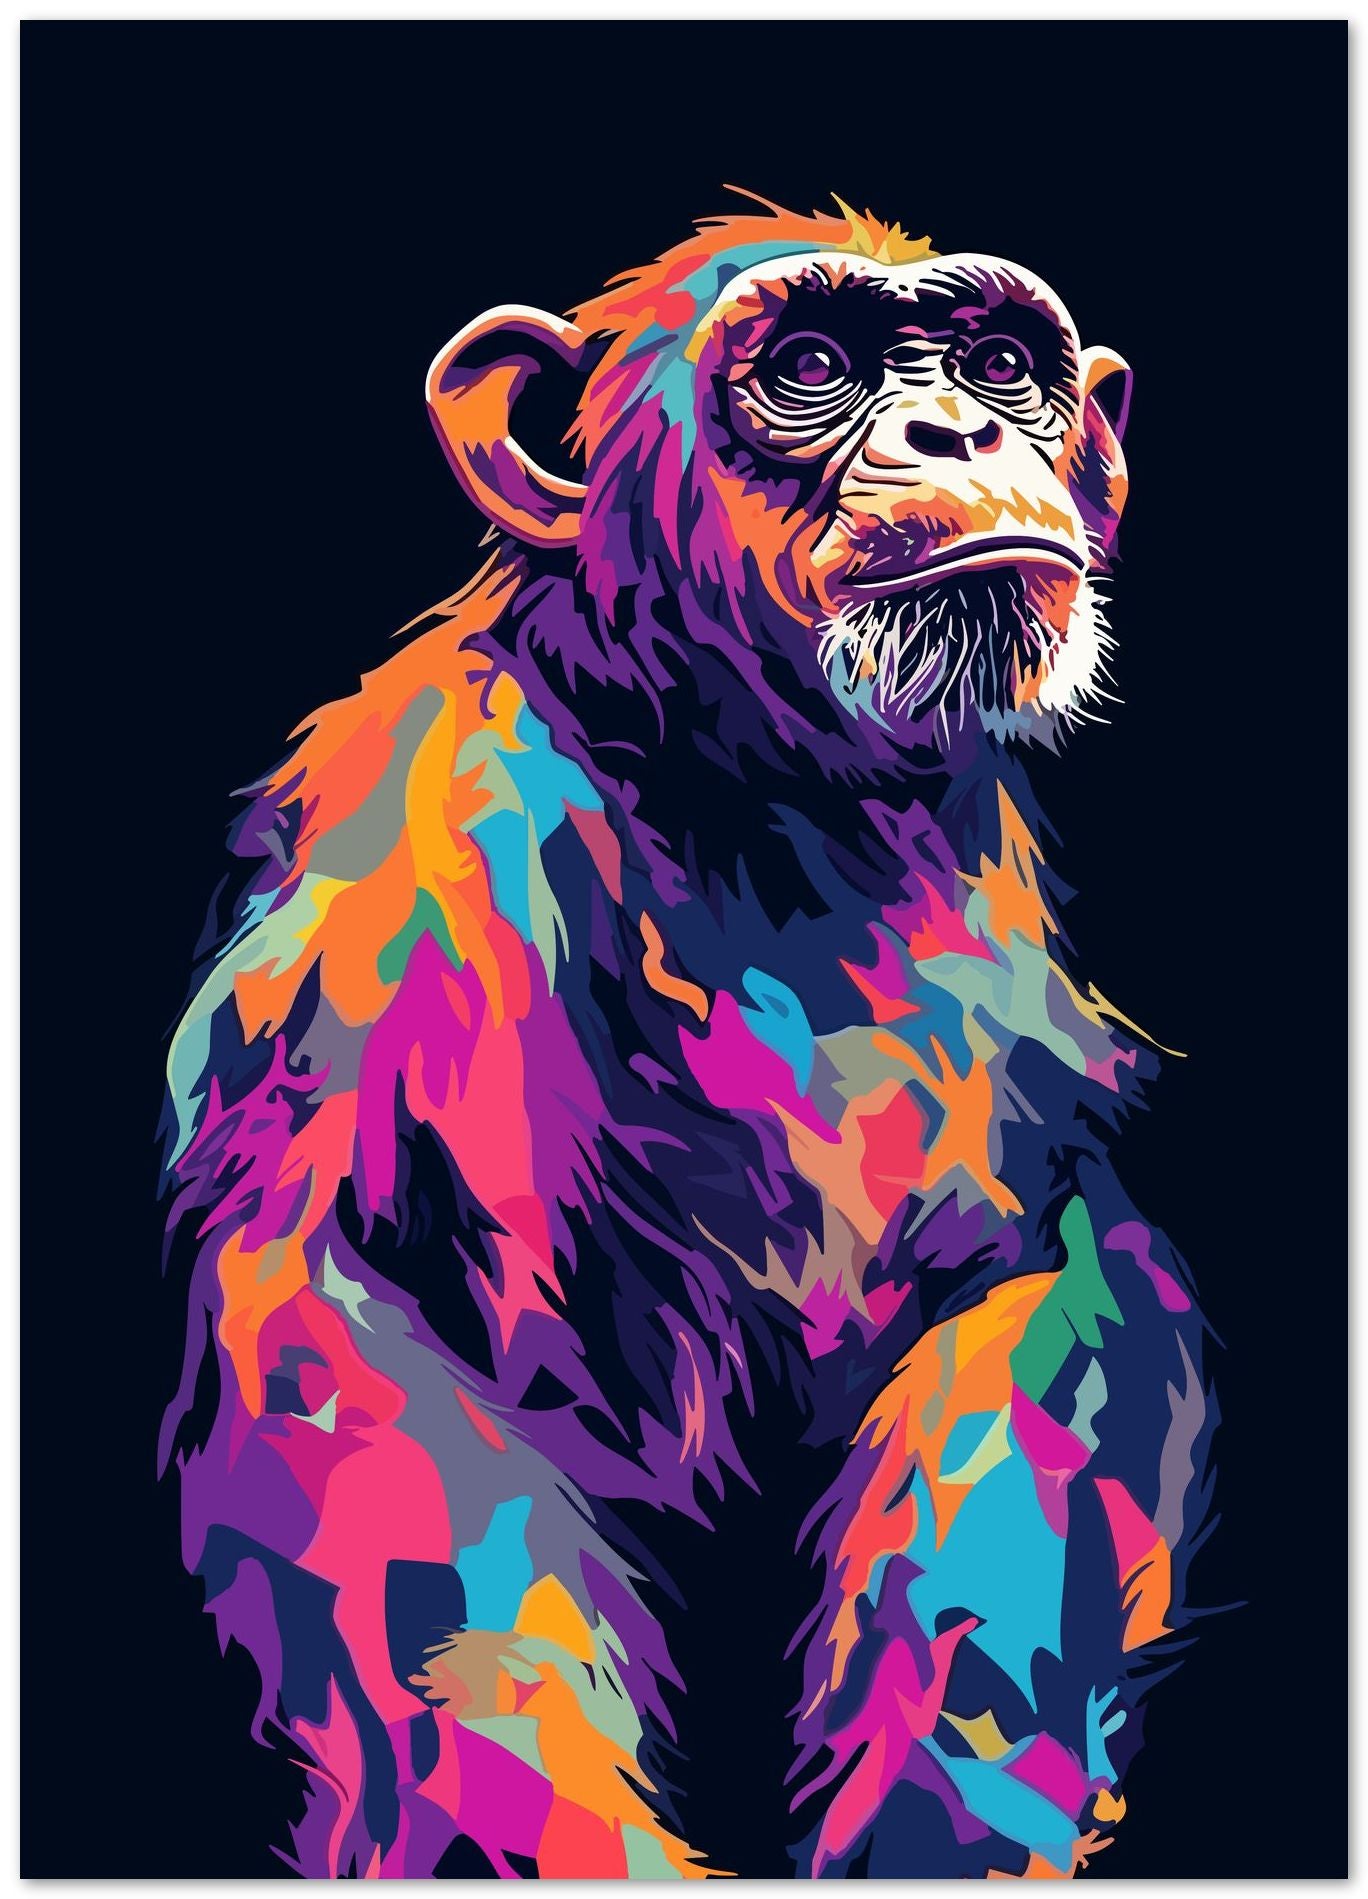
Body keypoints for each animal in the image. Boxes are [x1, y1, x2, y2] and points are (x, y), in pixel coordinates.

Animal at [161, 194, 1213, 1879]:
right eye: (812, 365)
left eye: (998, 362)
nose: (958, 424)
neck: (753, 774)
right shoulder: (430, 836)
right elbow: (359, 1310)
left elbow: (1028, 1281)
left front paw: (949, 1822)